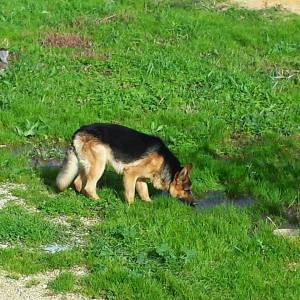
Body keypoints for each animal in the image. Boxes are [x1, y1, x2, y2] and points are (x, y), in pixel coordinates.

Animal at [56, 123, 195, 204]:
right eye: (187, 190)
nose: (194, 203)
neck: (164, 162)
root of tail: (78, 131)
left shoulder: (140, 179)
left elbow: (144, 193)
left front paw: (148, 203)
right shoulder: (130, 174)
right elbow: (130, 194)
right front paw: (131, 208)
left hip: (87, 165)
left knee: (78, 182)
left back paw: (84, 196)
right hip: (99, 164)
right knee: (89, 187)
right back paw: (99, 200)